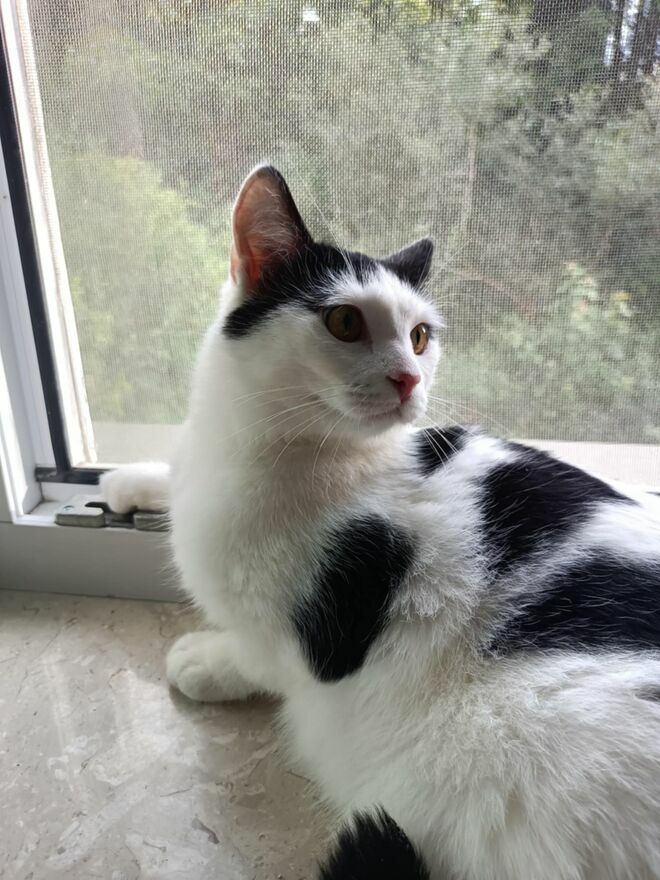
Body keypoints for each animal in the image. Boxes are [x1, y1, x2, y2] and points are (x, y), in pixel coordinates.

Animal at [101, 165, 660, 880]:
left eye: (420, 336)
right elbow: (176, 476)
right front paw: (132, 481)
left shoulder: (308, 637)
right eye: (344, 321)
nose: (408, 378)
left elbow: (261, 657)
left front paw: (207, 661)